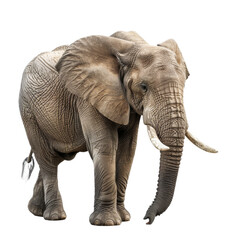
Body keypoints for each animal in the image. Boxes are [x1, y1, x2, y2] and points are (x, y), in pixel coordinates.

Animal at [19, 30, 218, 225]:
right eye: (143, 87)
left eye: (184, 84)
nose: (147, 219)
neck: (131, 47)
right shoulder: (88, 96)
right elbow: (106, 145)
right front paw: (106, 222)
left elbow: (127, 150)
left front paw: (124, 217)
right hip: (28, 110)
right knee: (46, 158)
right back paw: (55, 216)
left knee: (56, 157)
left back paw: (36, 211)